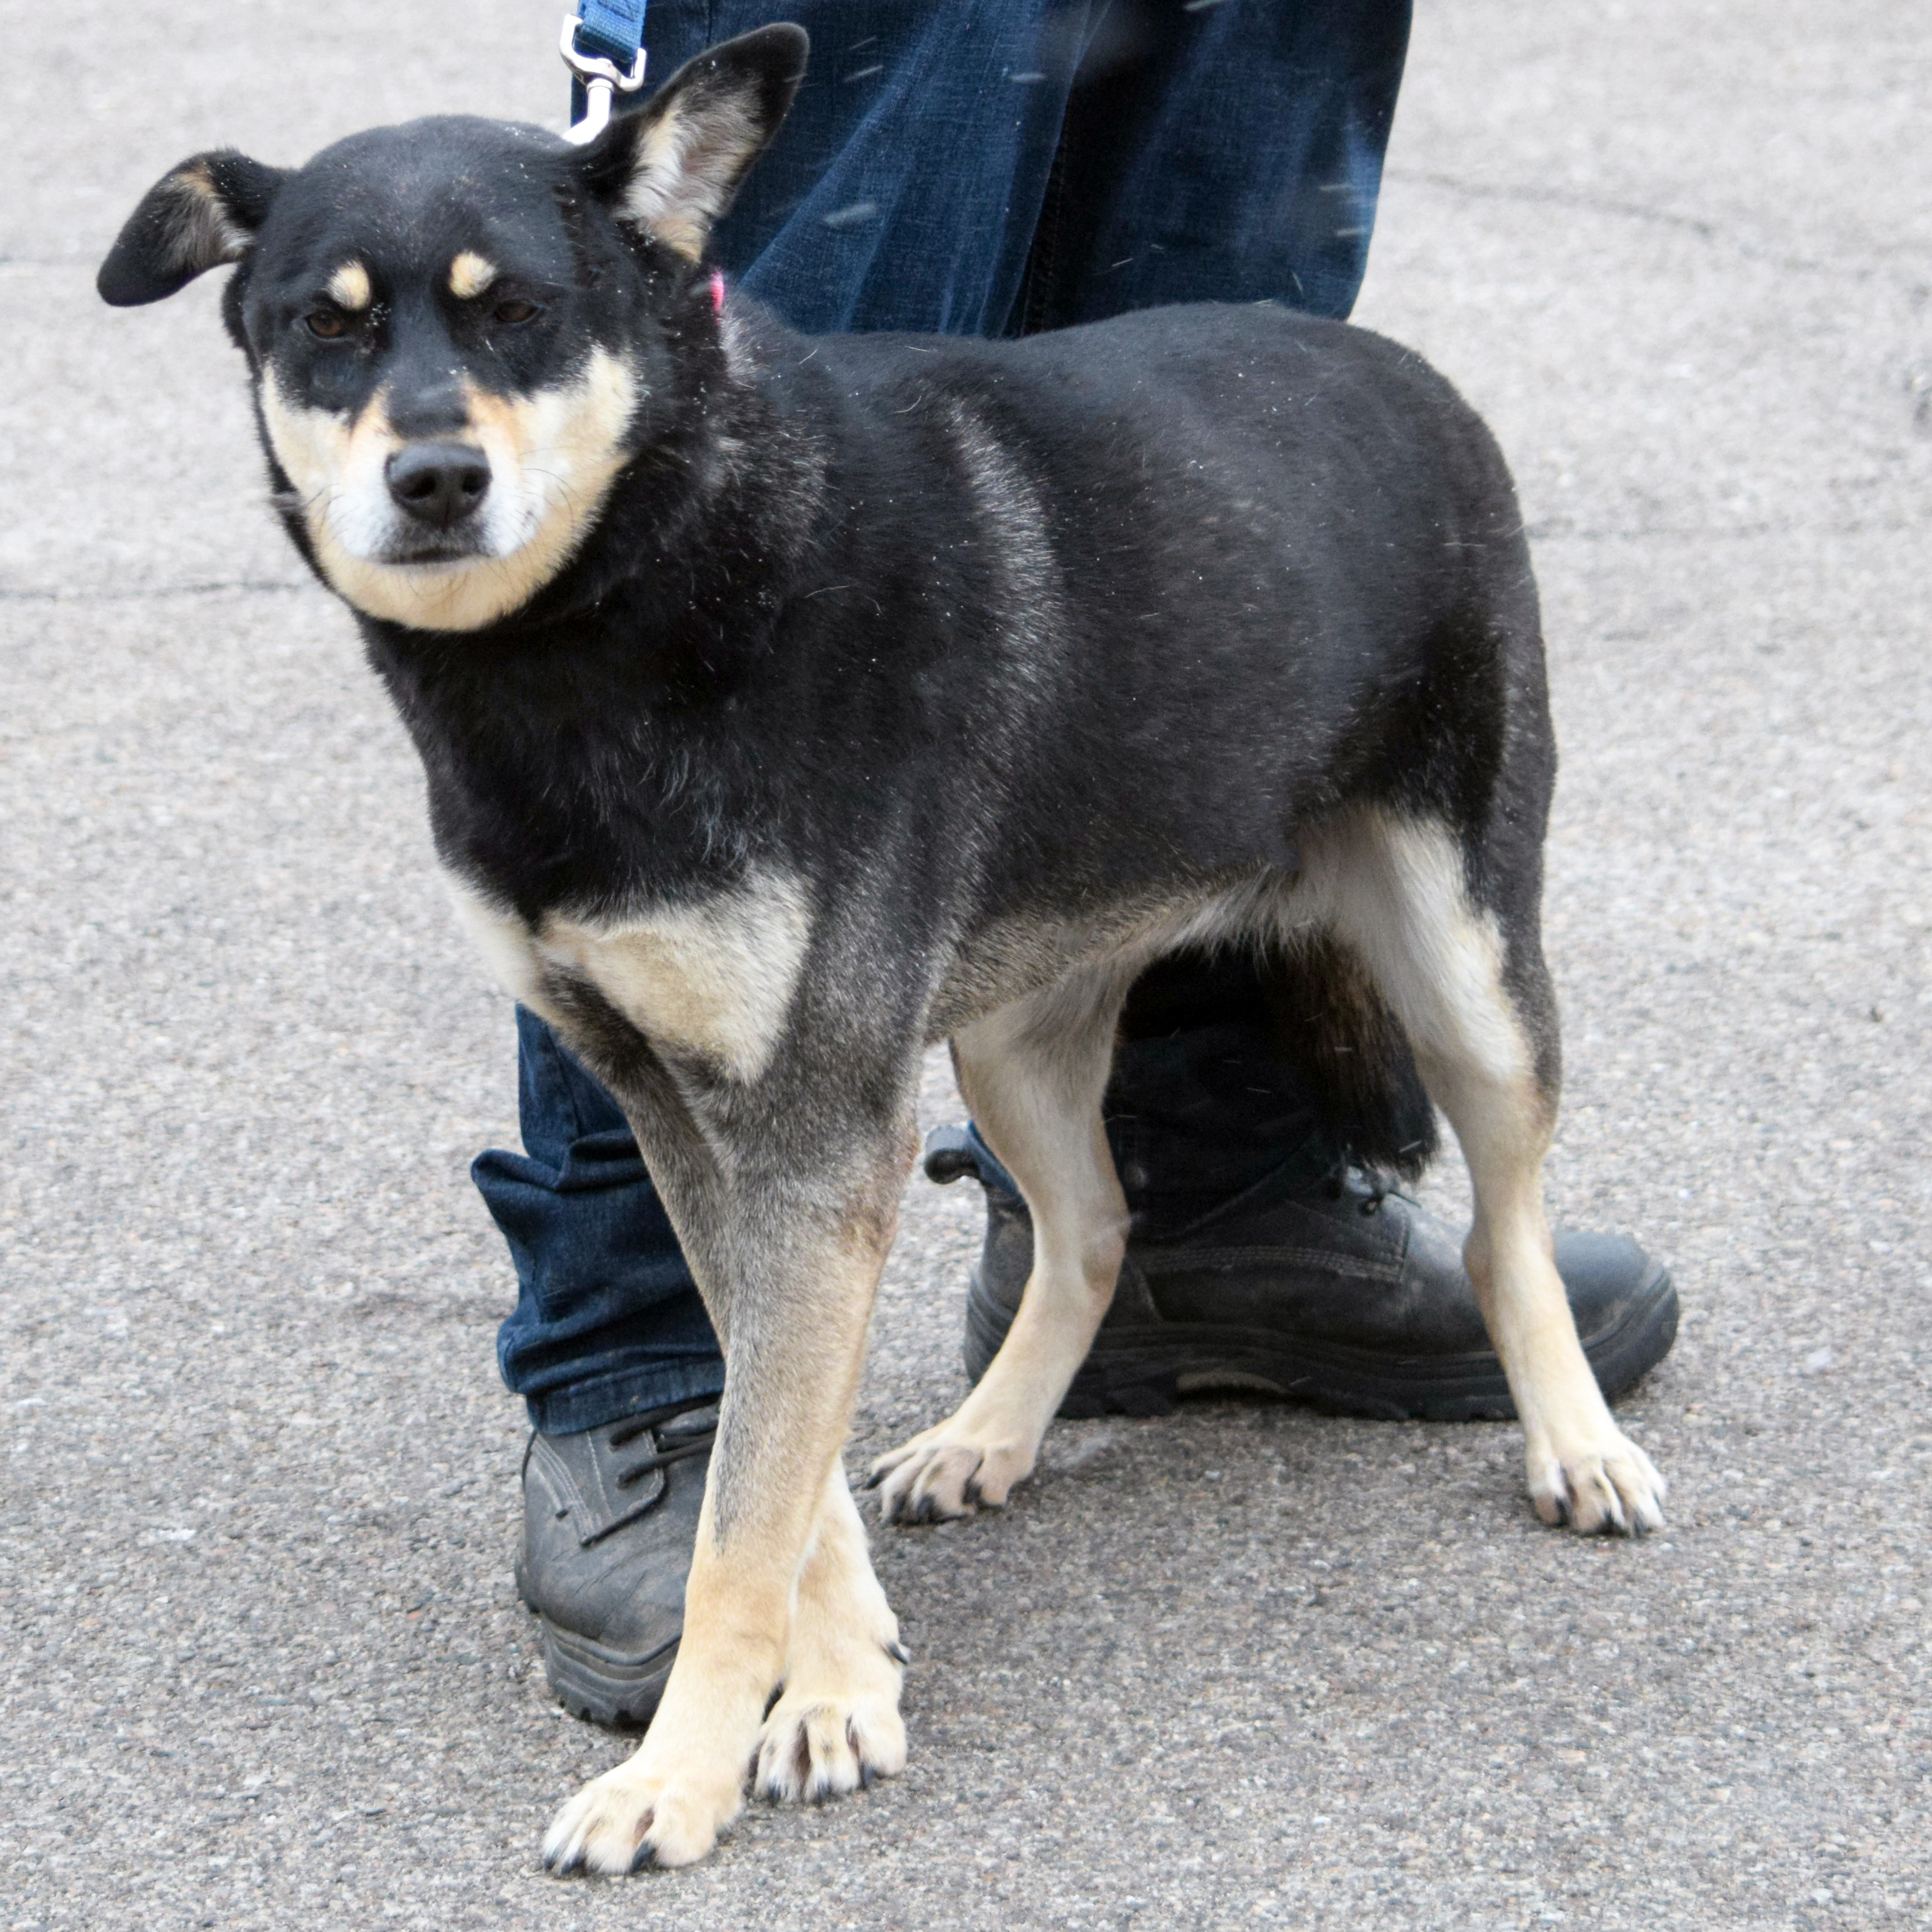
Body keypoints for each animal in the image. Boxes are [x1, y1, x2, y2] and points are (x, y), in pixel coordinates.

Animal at [102, 23, 1661, 1878]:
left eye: (519, 313)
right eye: (324, 328)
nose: (434, 479)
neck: (630, 590)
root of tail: (1399, 368)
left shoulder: (812, 1123)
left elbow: (750, 1503)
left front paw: (684, 1772)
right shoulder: (697, 1119)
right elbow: (765, 1453)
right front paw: (832, 1681)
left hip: (1467, 962)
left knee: (1502, 1221)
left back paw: (1573, 1436)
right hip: (1012, 1031)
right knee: (1096, 1226)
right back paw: (990, 1432)